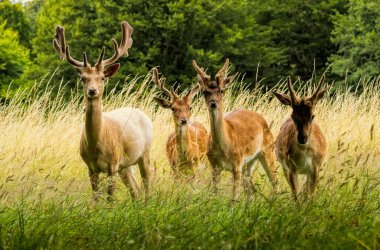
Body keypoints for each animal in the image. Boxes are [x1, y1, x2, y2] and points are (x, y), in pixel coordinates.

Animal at [52, 22, 153, 201]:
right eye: (83, 78)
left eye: (102, 78)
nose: (92, 91)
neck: (97, 146)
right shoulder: (91, 168)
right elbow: (96, 197)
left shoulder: (112, 164)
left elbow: (110, 197)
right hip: (125, 165)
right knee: (135, 190)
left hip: (145, 152)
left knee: (147, 183)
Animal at [193, 59, 280, 201]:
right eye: (204, 91)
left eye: (222, 90)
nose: (213, 103)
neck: (224, 148)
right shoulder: (214, 165)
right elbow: (215, 193)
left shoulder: (237, 164)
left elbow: (234, 199)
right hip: (249, 163)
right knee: (250, 190)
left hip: (268, 150)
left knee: (275, 182)